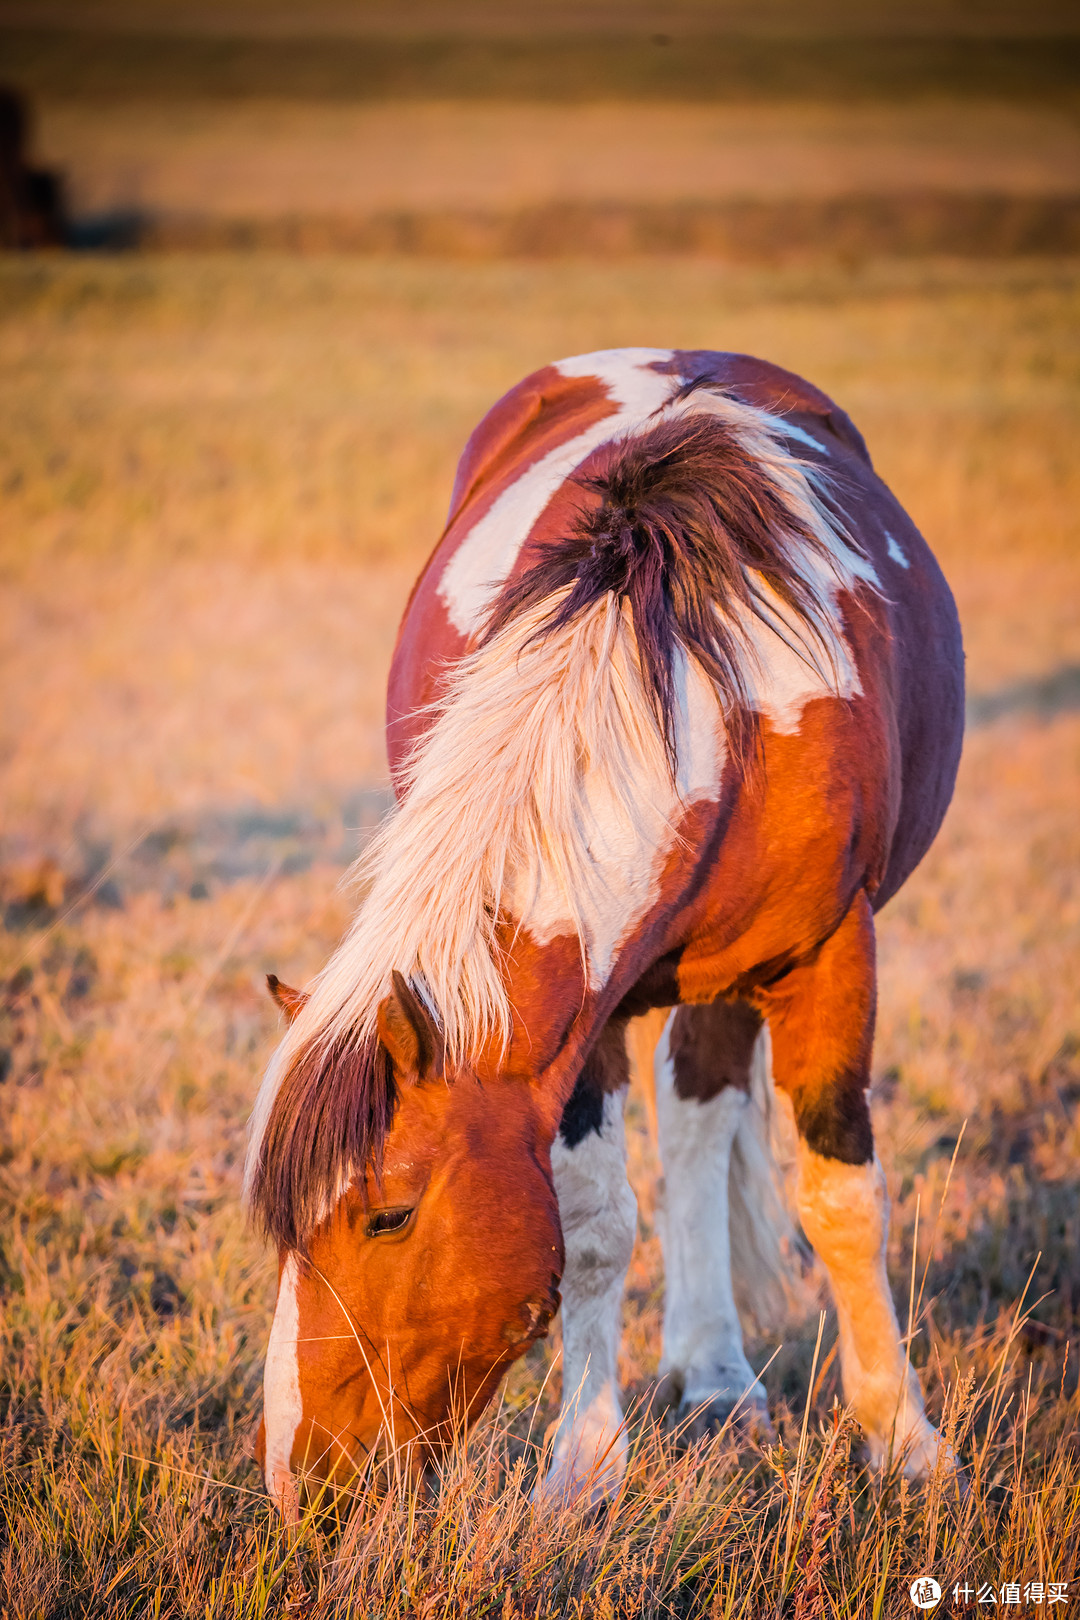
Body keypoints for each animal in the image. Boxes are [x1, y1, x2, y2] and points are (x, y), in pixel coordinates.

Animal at [249, 348, 965, 1509]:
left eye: (387, 1214)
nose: (299, 1483)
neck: (715, 704)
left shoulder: (827, 955)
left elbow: (844, 1201)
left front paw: (904, 1441)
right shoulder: (582, 1015)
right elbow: (591, 1227)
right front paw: (584, 1469)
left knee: (701, 1123)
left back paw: (715, 1372)